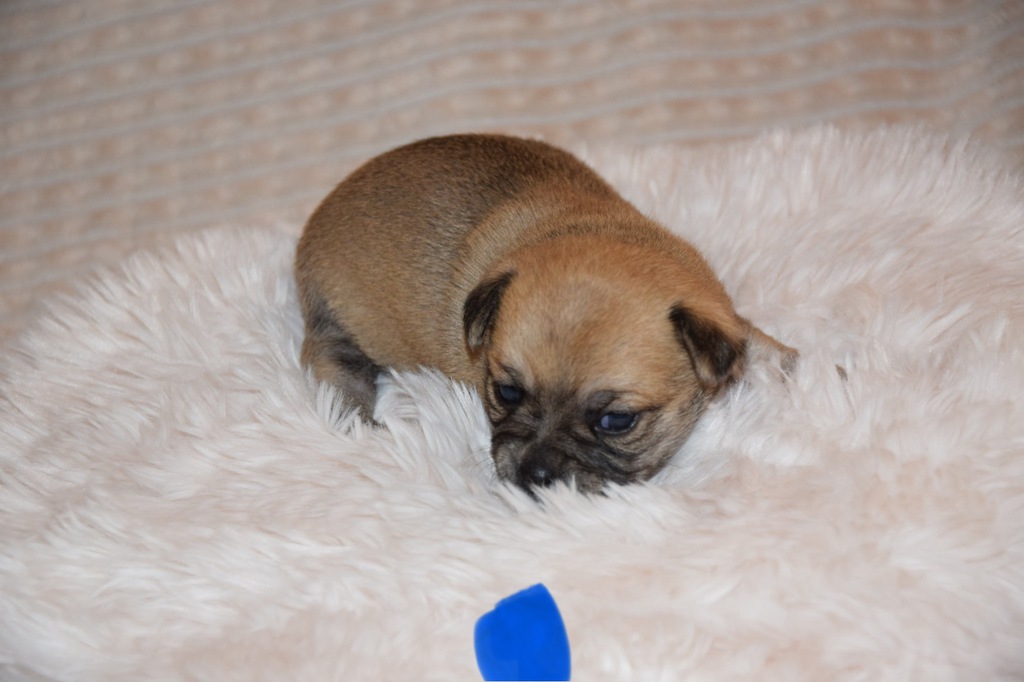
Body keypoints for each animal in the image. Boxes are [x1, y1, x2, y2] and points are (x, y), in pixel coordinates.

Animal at [295, 134, 795, 493]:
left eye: (616, 422)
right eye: (507, 392)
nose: (534, 475)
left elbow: (754, 345)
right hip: (337, 323)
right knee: (331, 361)